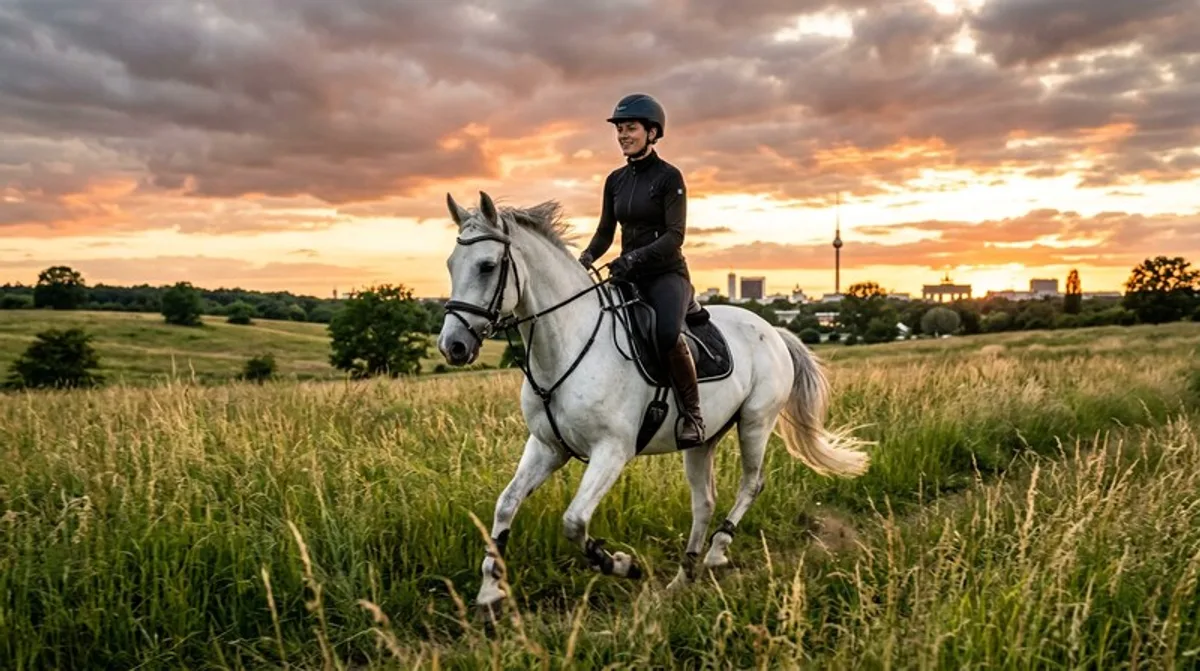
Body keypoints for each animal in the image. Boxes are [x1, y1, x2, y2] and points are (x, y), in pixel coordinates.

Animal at [436, 191, 869, 611]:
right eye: (451, 264)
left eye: (488, 266)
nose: (452, 346)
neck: (567, 345)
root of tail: (773, 330)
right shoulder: (546, 447)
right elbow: (506, 504)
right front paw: (490, 590)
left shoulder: (612, 450)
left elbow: (574, 521)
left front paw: (622, 564)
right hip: (702, 440)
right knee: (704, 501)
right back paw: (684, 575)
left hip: (755, 423)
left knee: (751, 484)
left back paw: (717, 551)